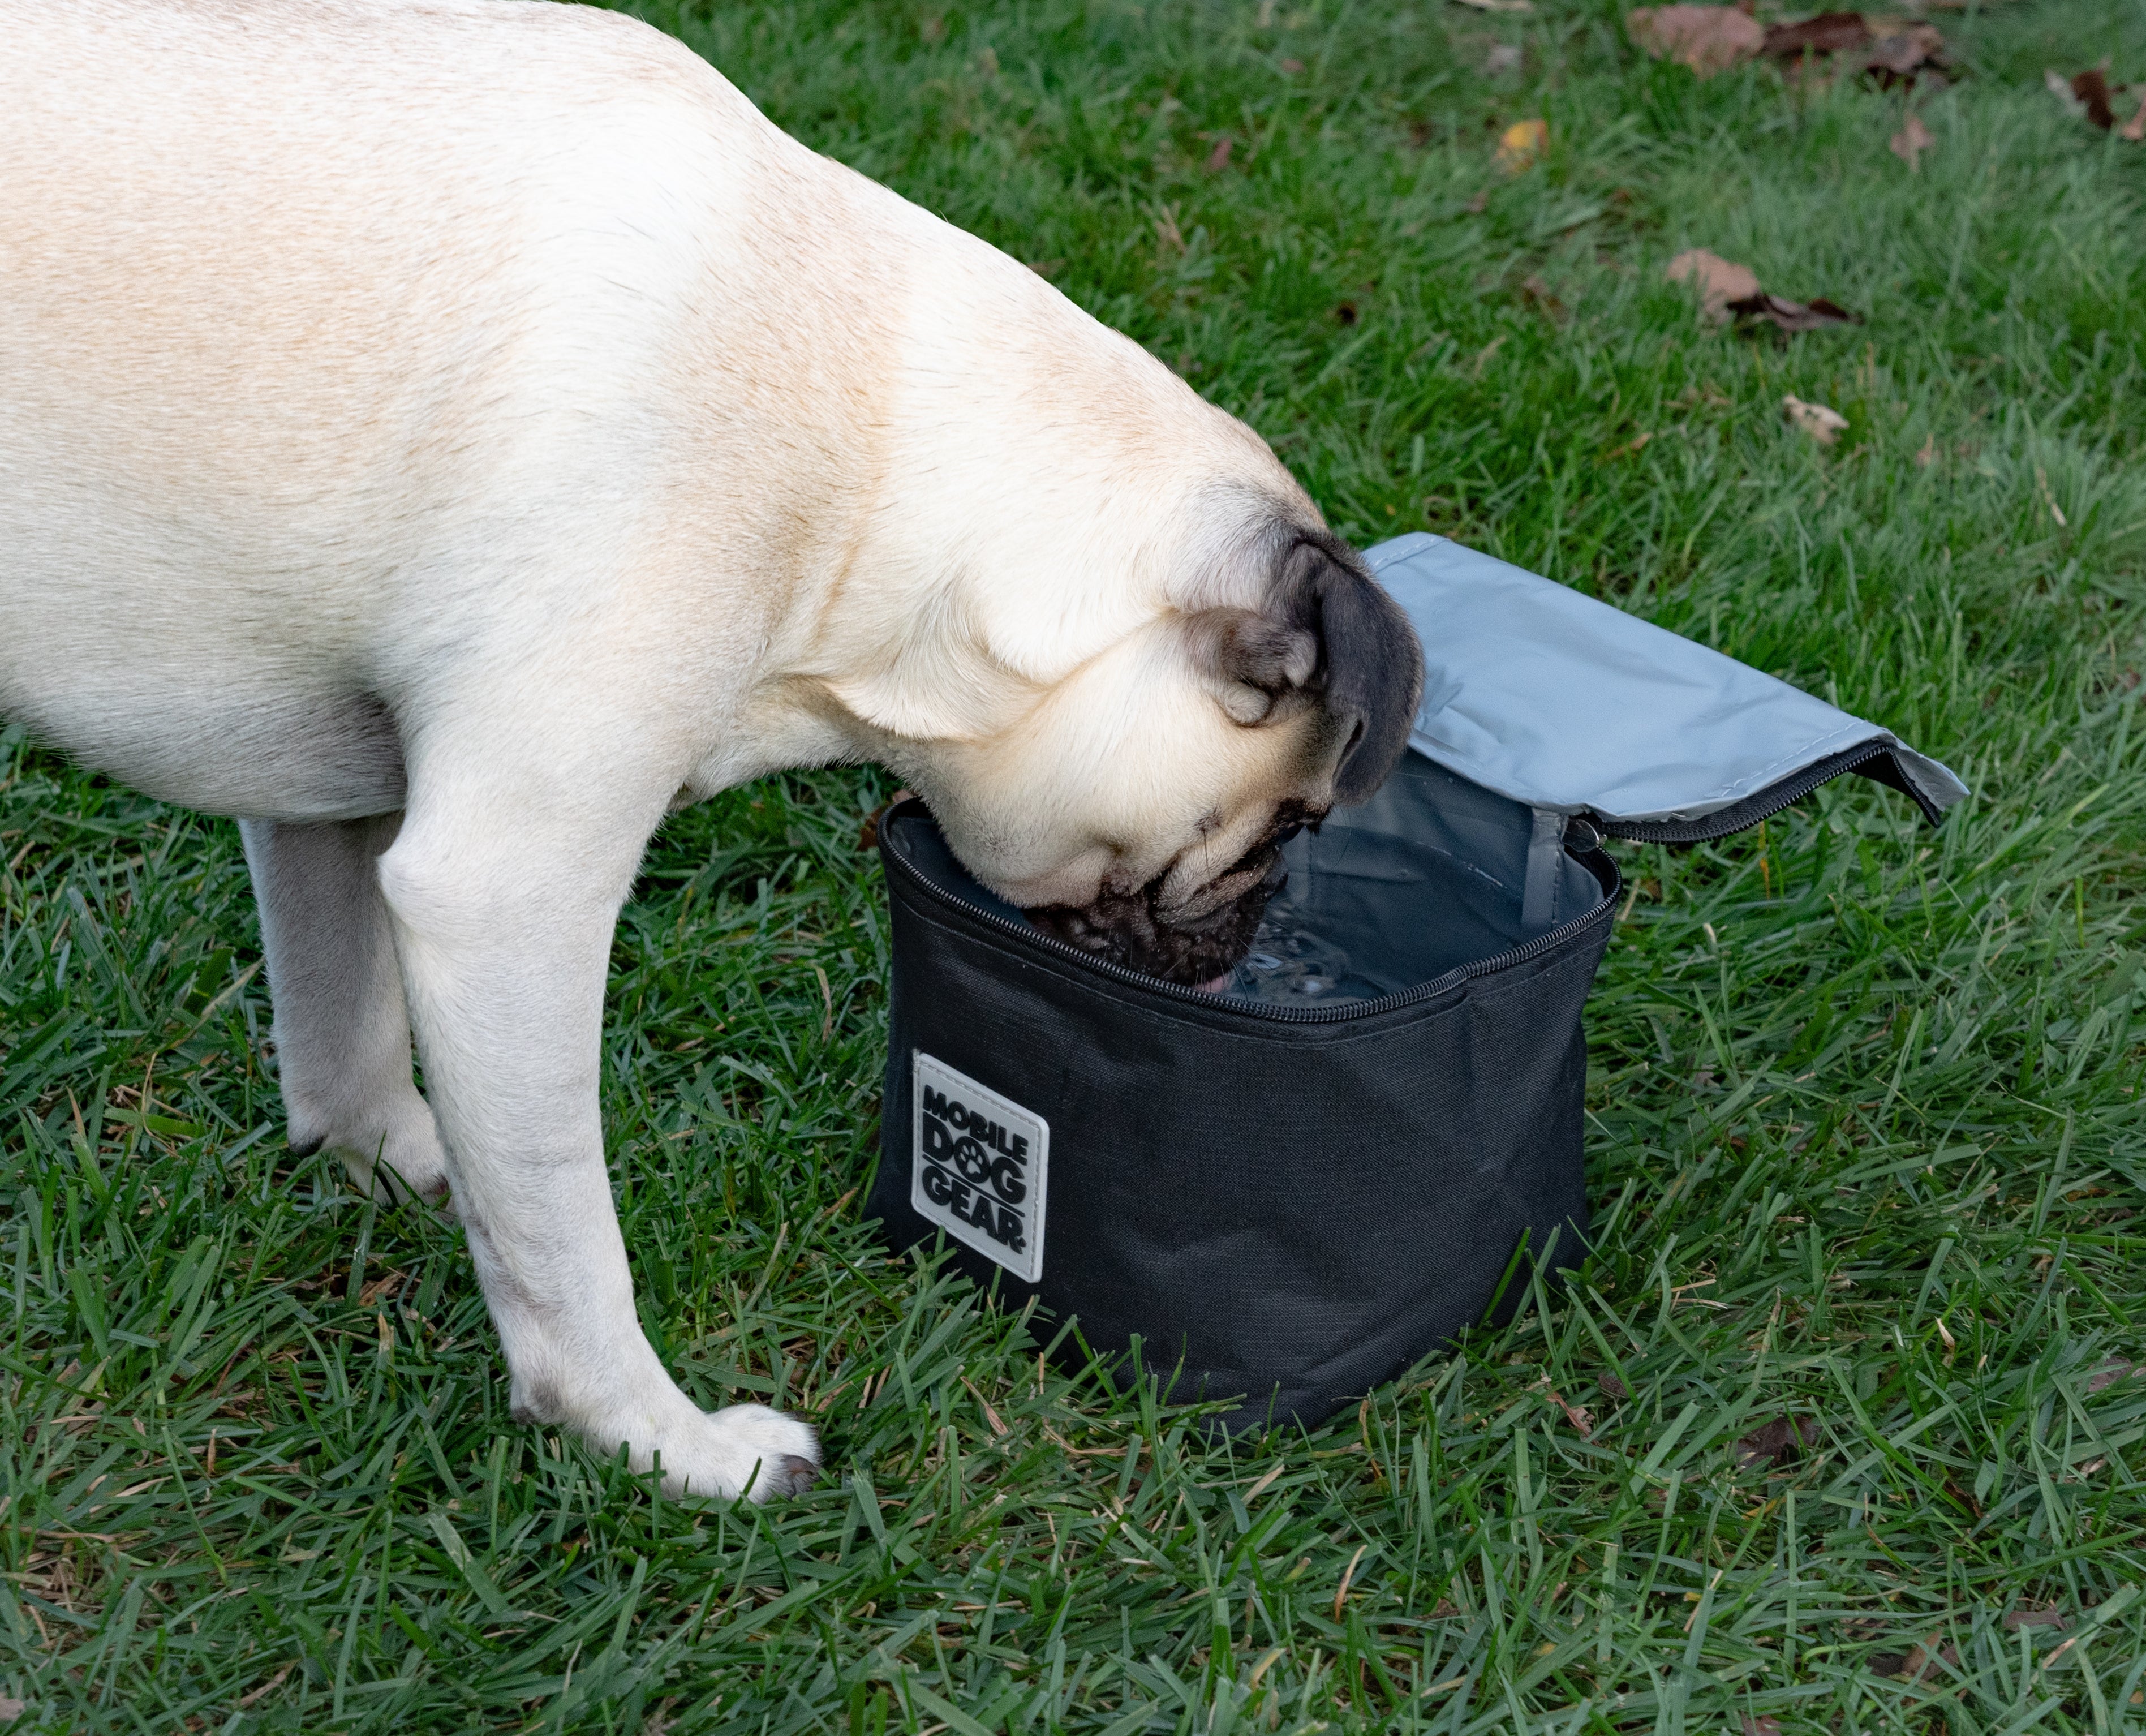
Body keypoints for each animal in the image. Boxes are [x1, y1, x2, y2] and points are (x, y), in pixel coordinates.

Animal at [0, 0, 1425, 1493]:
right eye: (1275, 833)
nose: (1256, 928)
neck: (878, 463)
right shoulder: (508, 898)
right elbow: (569, 1240)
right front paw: (660, 1447)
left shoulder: (333, 813)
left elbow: (346, 1030)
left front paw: (391, 1161)